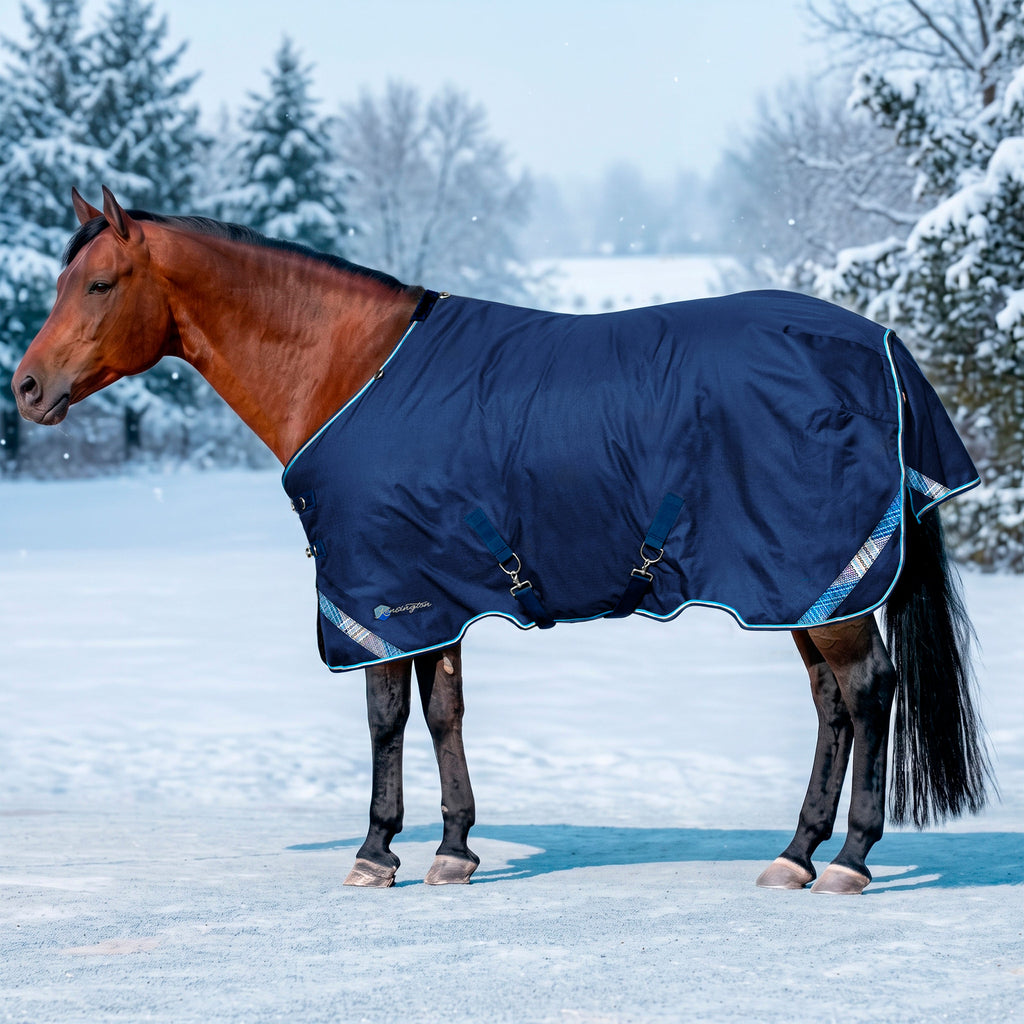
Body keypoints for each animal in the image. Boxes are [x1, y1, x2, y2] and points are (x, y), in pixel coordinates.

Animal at [13, 187, 991, 894]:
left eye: (99, 284)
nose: (26, 386)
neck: (352, 369)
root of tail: (881, 345)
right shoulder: (434, 596)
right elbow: (442, 711)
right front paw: (451, 848)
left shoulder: (378, 595)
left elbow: (384, 717)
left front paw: (374, 852)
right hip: (801, 588)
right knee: (832, 705)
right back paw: (794, 854)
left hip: (820, 582)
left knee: (868, 692)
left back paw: (850, 861)